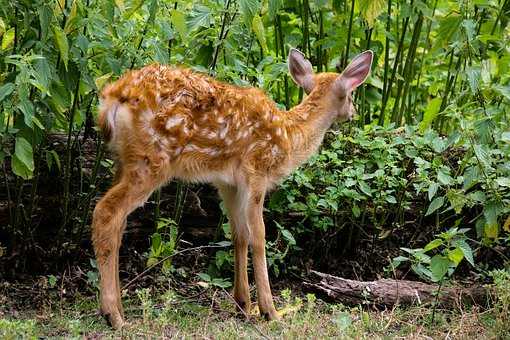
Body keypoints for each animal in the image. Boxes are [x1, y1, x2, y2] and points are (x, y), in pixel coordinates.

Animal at [91, 47, 372, 326]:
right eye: (350, 94)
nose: (355, 112)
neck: (289, 135)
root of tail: (112, 98)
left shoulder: (227, 183)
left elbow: (239, 234)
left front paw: (243, 304)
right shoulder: (257, 169)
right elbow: (259, 235)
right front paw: (269, 310)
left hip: (123, 162)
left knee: (118, 224)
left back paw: (118, 306)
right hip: (151, 160)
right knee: (105, 212)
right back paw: (113, 315)